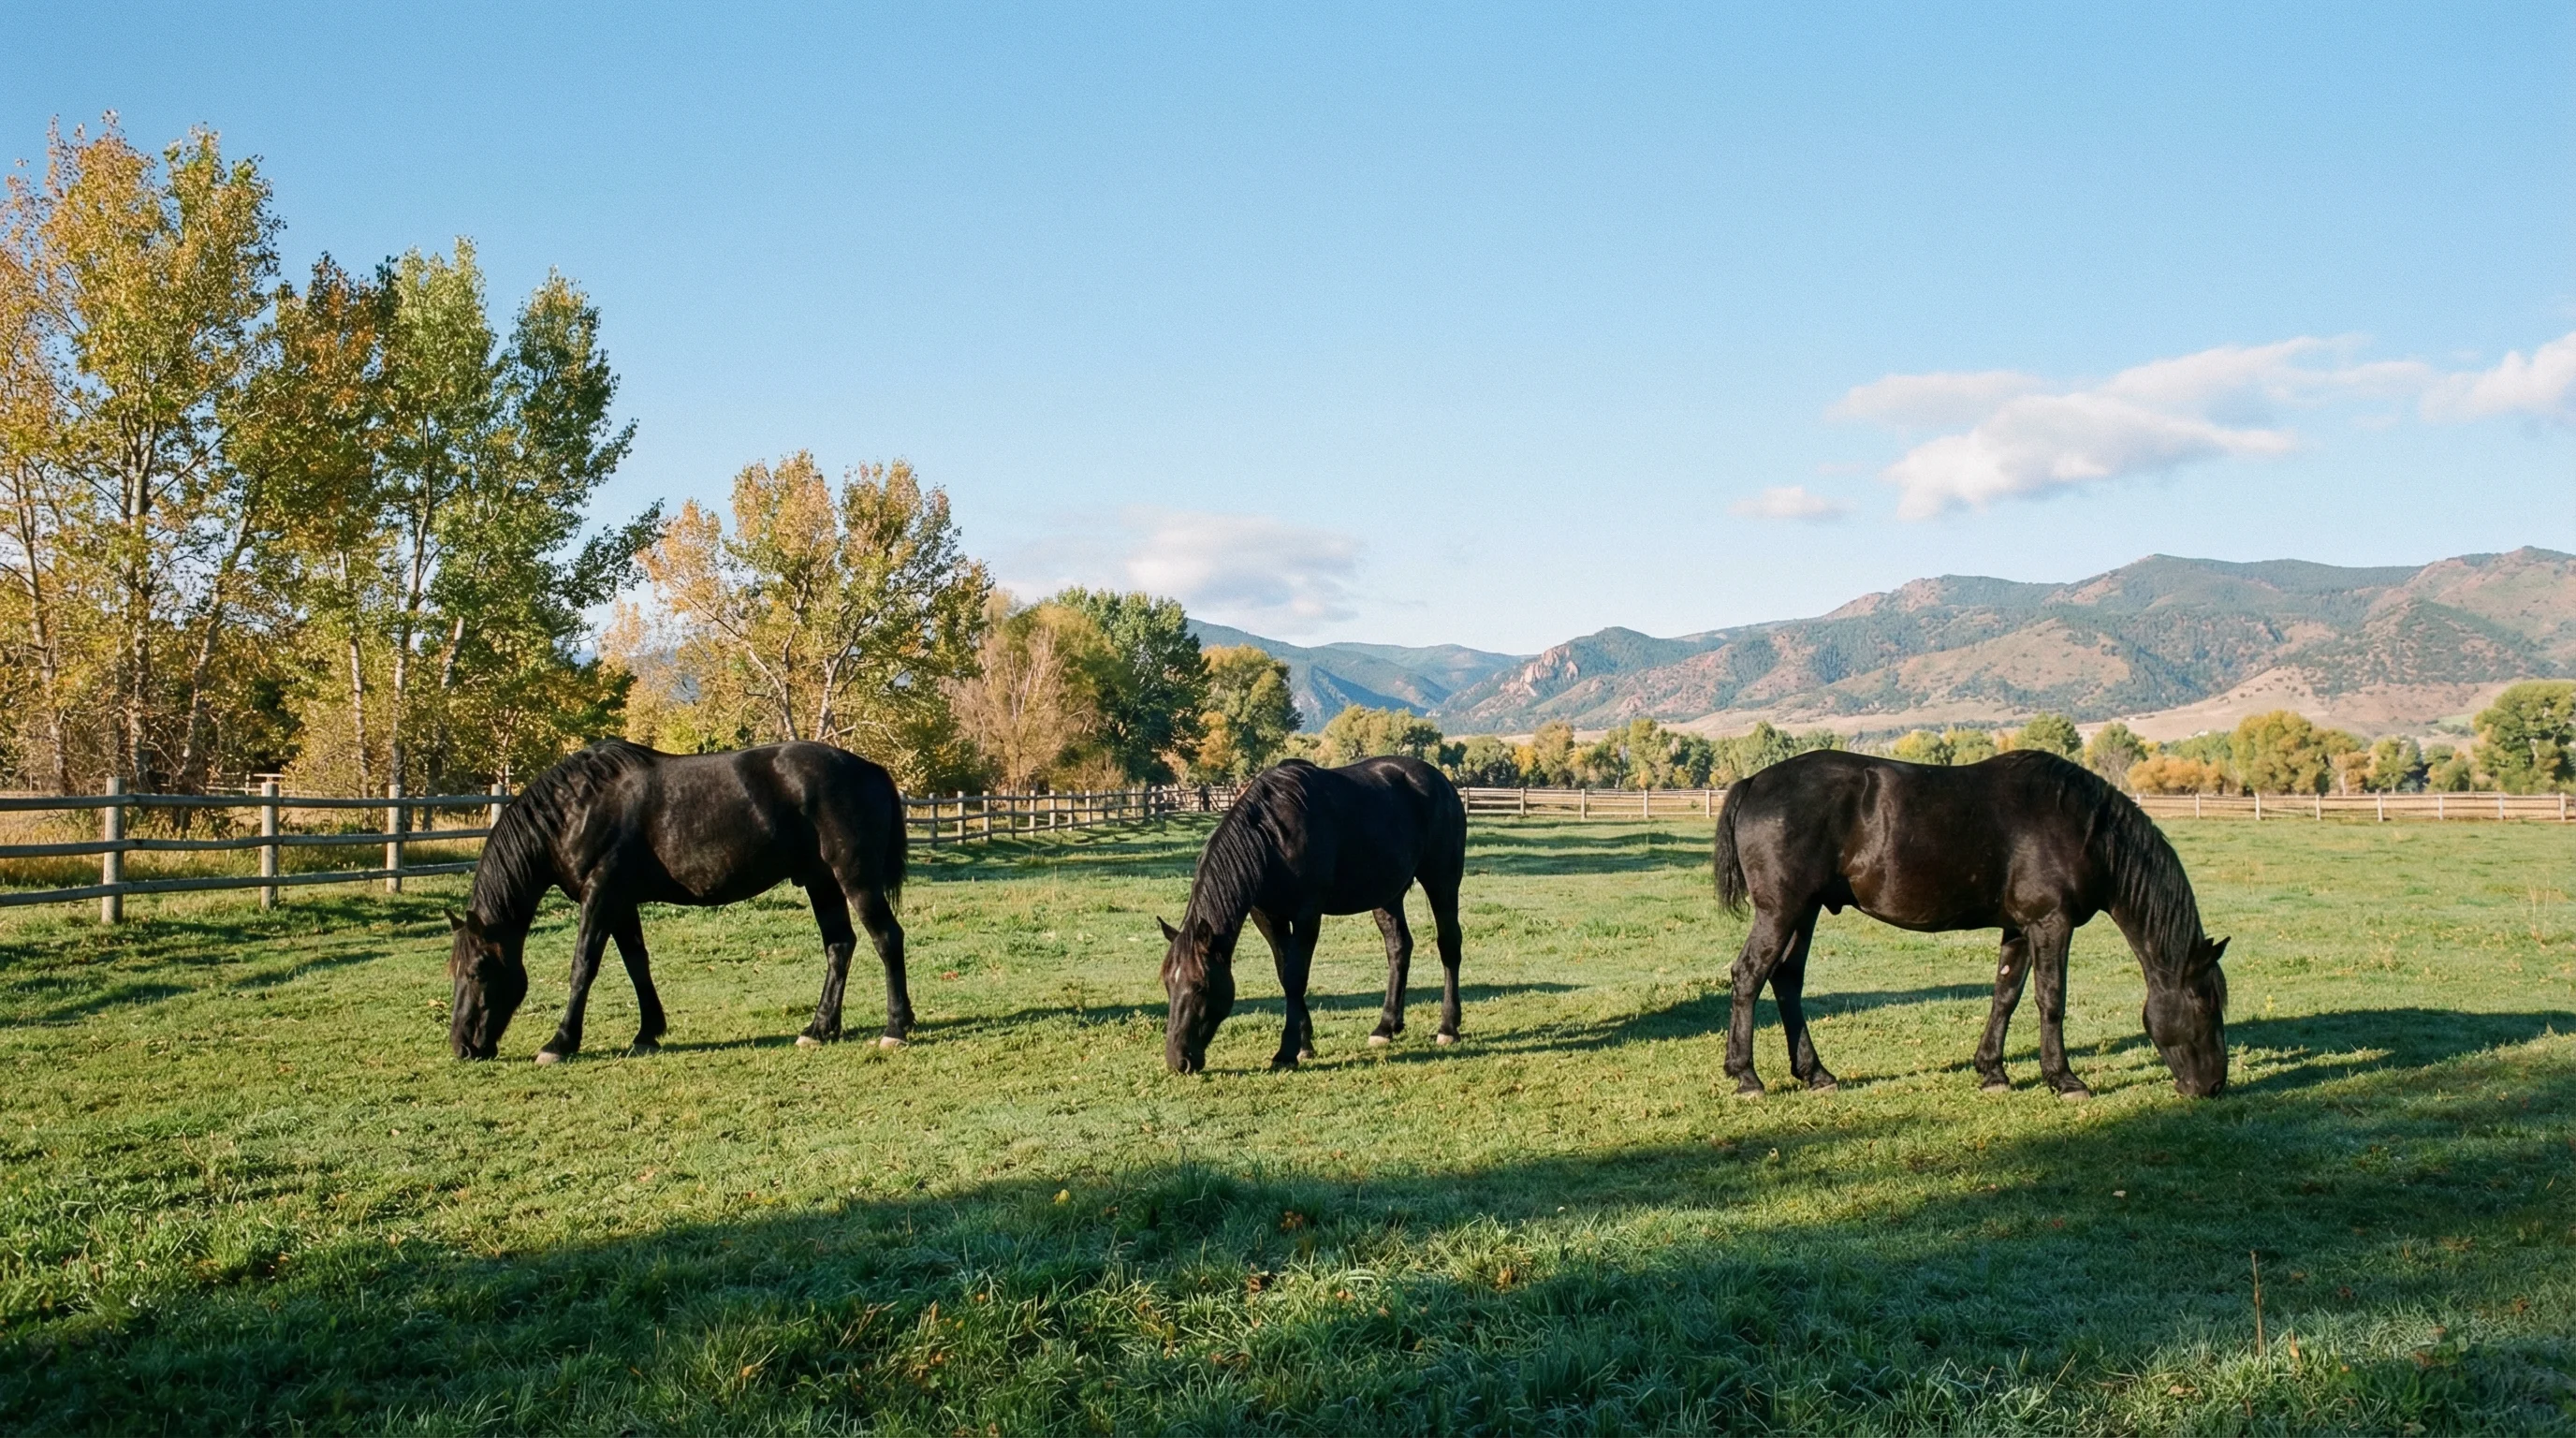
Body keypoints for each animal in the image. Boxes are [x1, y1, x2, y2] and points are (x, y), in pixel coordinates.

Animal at [445, 739, 912, 1062]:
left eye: (477, 971)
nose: (462, 1046)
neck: (578, 810)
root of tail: (871, 769)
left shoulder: (600, 896)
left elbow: (583, 967)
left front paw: (560, 1042)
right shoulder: (621, 902)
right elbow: (637, 963)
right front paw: (647, 1033)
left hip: (855, 879)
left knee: (887, 939)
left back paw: (896, 1029)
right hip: (821, 883)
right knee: (839, 946)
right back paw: (820, 1028)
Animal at [1159, 756, 1467, 1074]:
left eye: (1200, 986)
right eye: (1168, 983)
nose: (1178, 1060)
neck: (1272, 837)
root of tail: (1441, 782)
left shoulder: (1307, 916)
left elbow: (1296, 977)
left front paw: (1286, 1051)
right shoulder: (1268, 917)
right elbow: (1285, 975)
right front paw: (1304, 1045)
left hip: (1442, 882)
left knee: (1449, 946)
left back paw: (1448, 1028)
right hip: (1388, 896)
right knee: (1399, 947)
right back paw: (1386, 1027)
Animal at [1711, 748, 2229, 1099]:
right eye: (2205, 1005)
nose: (2214, 1085)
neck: (2083, 828)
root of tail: (1754, 781)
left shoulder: (2020, 927)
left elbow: (2006, 995)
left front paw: (1992, 1072)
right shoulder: (2051, 924)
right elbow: (2051, 1000)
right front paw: (2064, 1079)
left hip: (1806, 911)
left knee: (1786, 980)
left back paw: (1816, 1074)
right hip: (1781, 911)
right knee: (1749, 976)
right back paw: (1747, 1076)